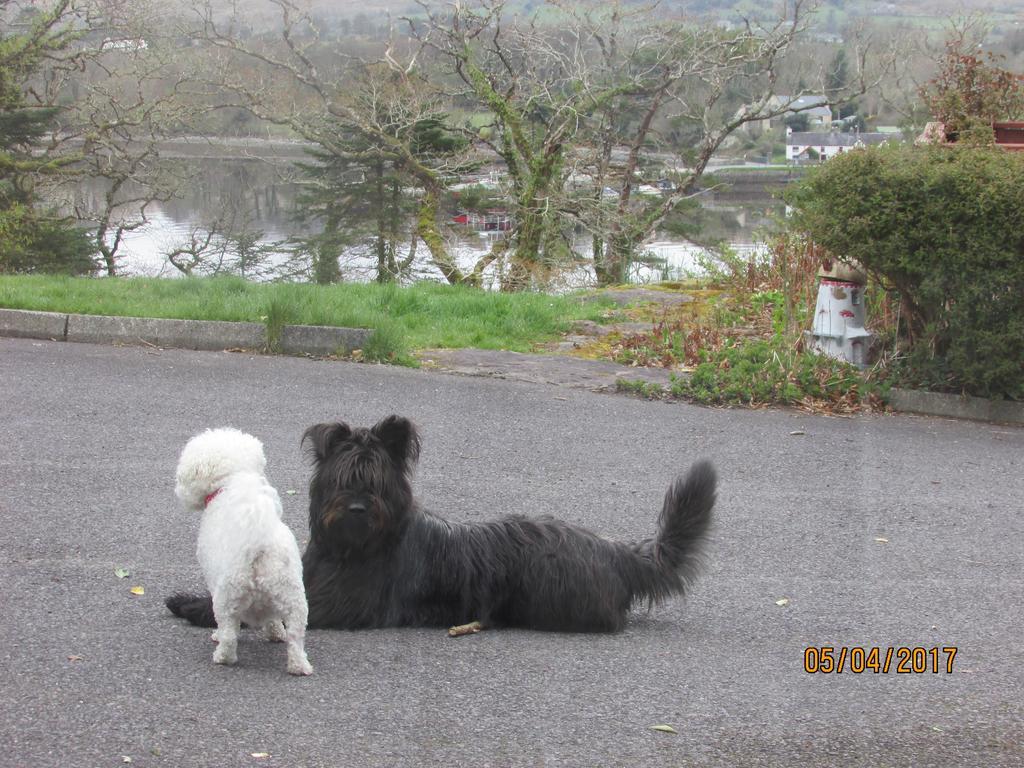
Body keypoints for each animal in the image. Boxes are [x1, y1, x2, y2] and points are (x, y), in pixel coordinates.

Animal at [165, 417, 712, 634]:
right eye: (344, 479)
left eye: (377, 481)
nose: (358, 509)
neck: (355, 550)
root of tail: (615, 551)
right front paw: (188, 599)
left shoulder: (340, 604)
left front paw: (198, 611)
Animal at [174, 430, 309, 675]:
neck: (232, 480)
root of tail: (259, 544)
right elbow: (273, 620)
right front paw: (275, 633)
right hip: (293, 596)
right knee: (295, 636)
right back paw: (299, 665)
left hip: (226, 597)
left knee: (228, 633)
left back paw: (222, 655)